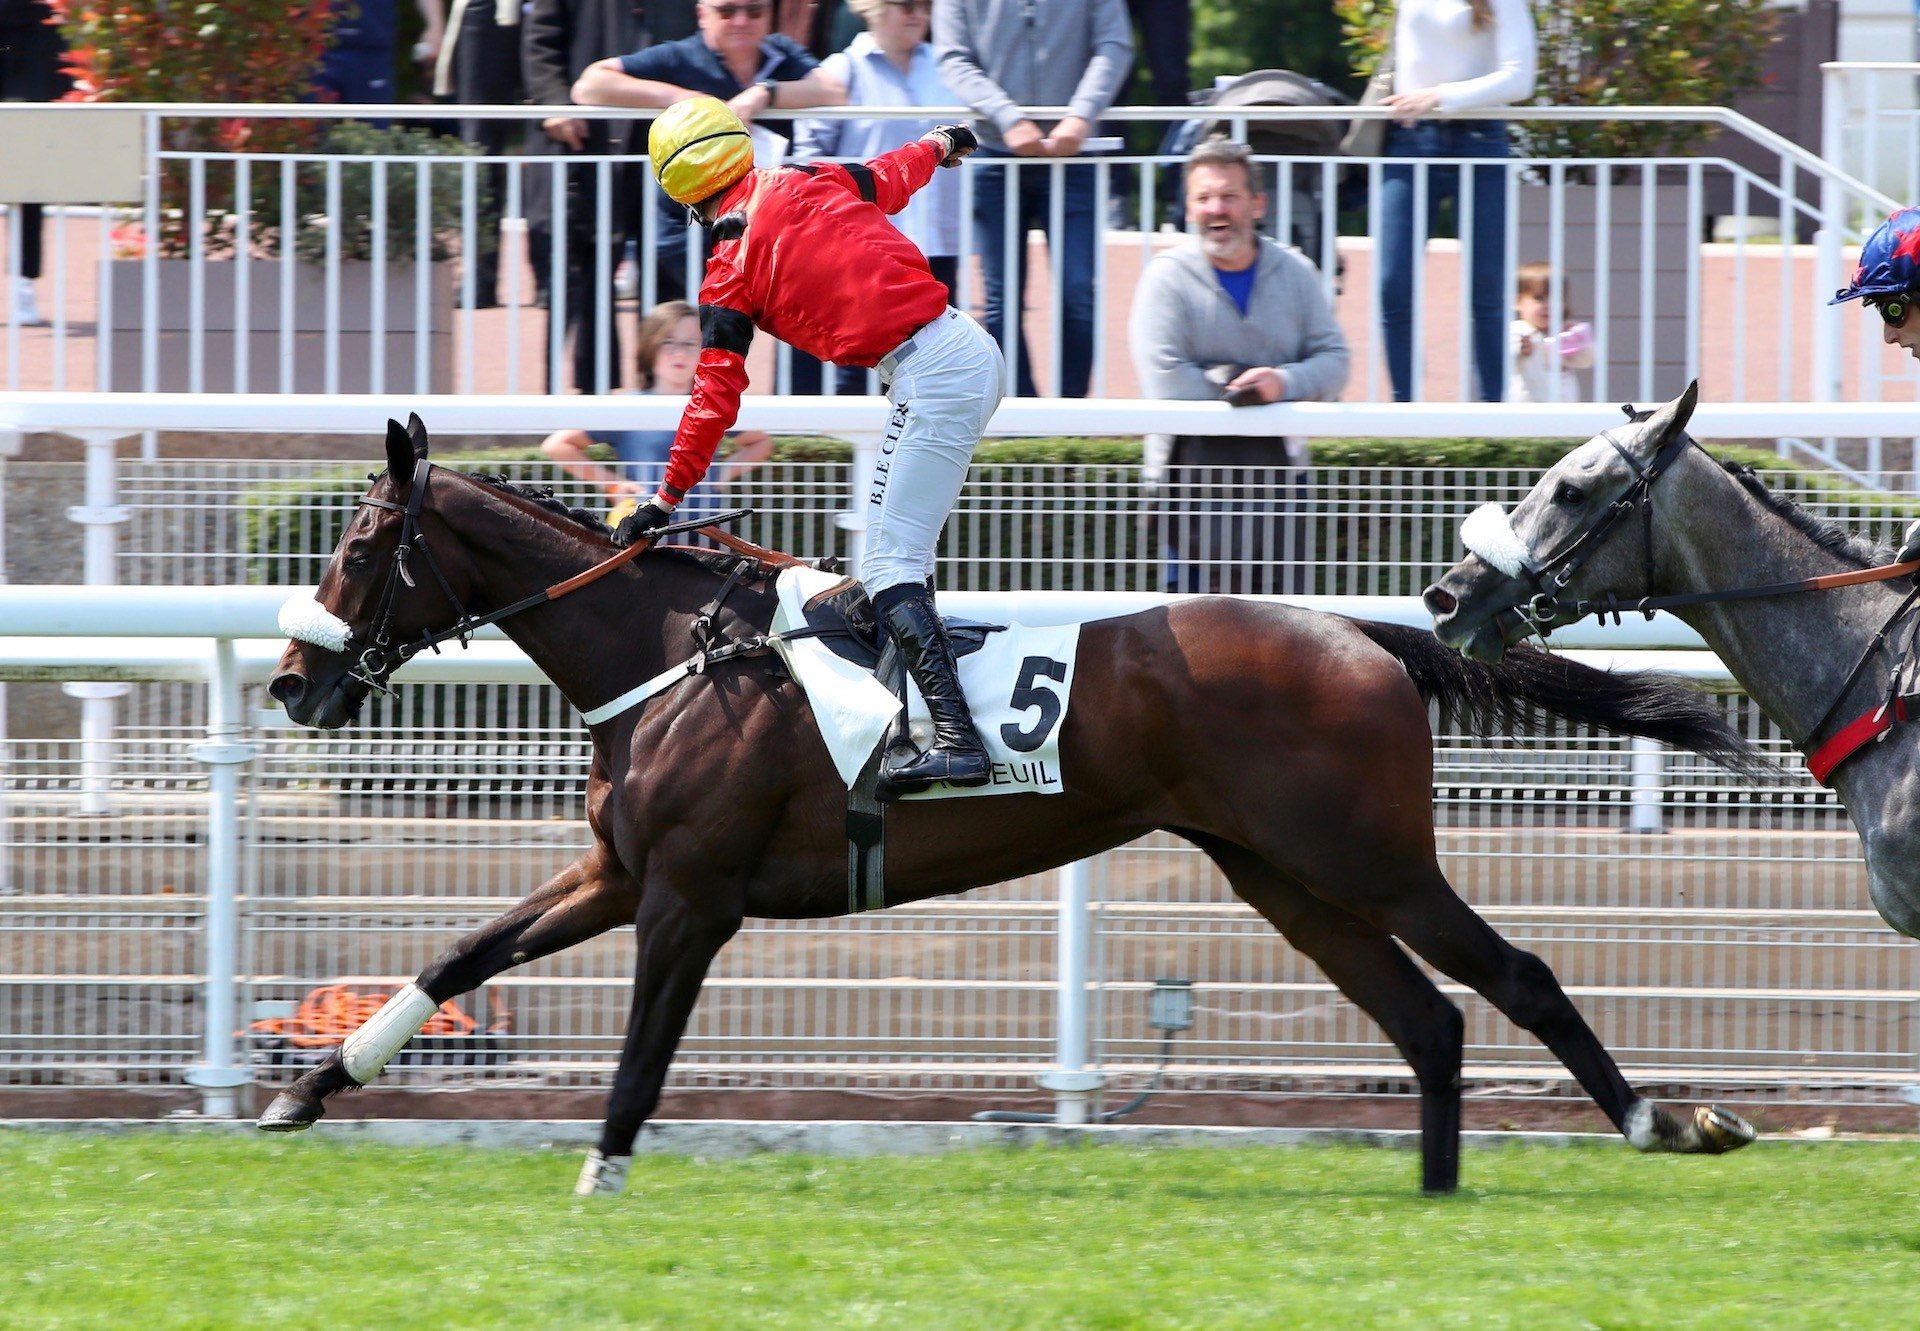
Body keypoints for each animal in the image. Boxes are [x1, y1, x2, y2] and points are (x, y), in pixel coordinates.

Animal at [263, 411, 1758, 1190]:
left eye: (360, 549)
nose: (289, 680)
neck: (679, 650)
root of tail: (1367, 630)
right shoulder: (619, 873)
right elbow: (462, 952)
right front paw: (309, 1088)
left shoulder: (689, 895)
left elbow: (641, 1049)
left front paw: (602, 1170)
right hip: (1282, 871)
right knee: (1429, 1016)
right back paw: (1439, 1189)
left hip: (1371, 858)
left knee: (1517, 976)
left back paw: (1664, 1120)